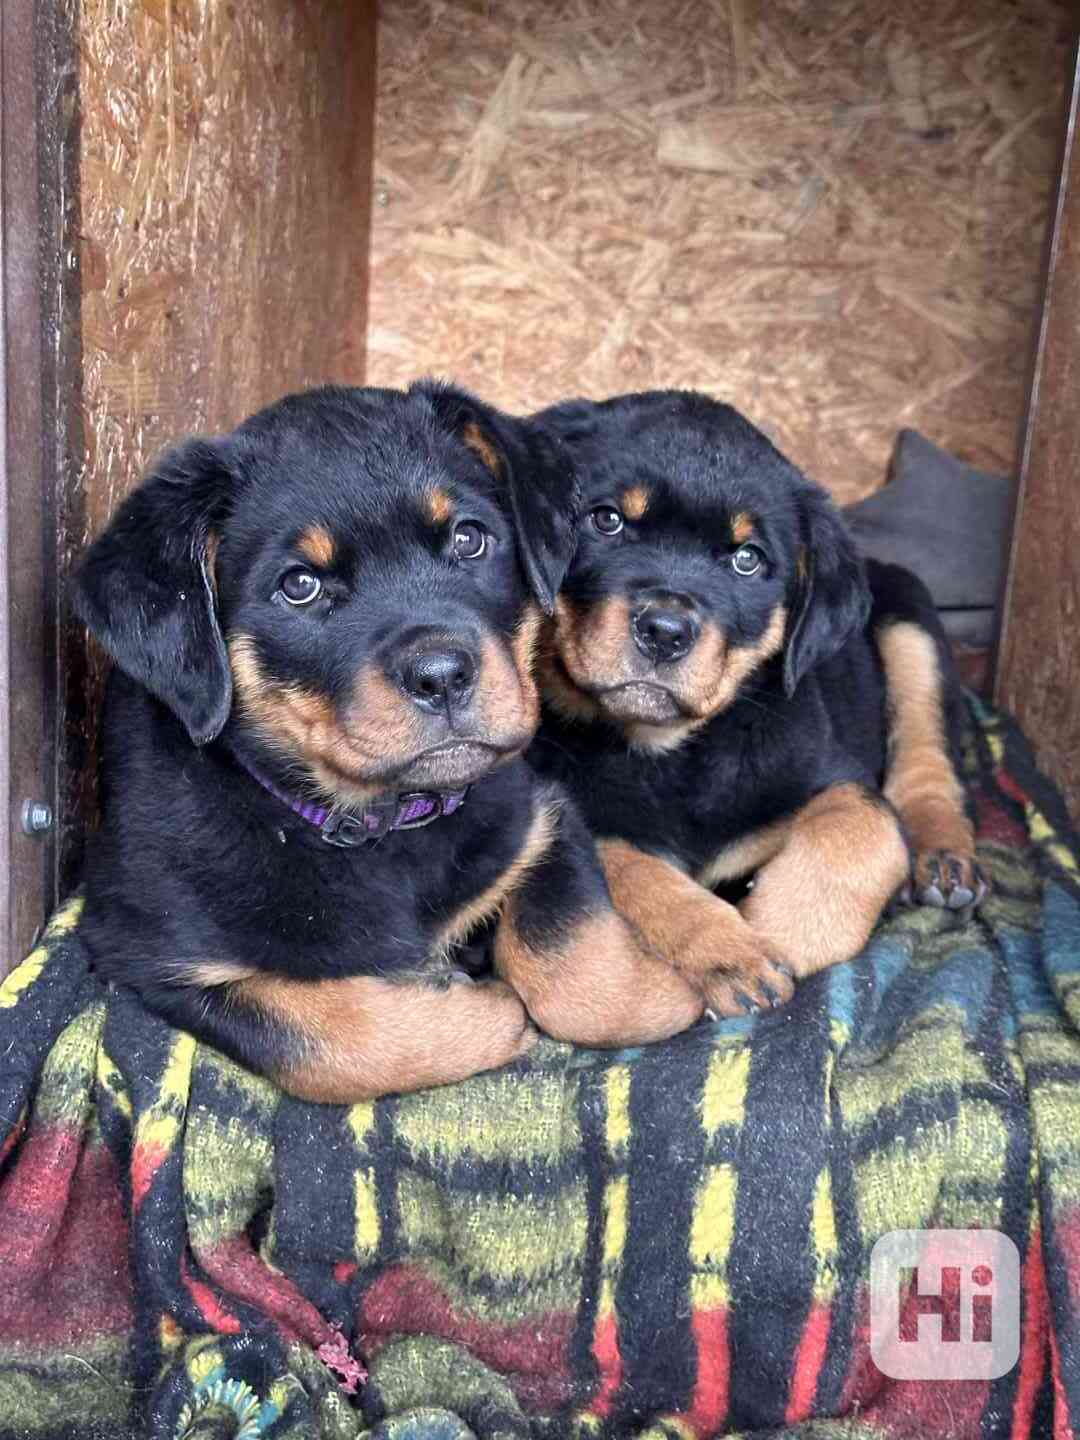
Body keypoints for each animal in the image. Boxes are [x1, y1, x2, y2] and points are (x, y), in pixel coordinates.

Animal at [76, 383, 702, 1100]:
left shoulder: (539, 817)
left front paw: (665, 995)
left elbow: (576, 960)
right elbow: (329, 1040)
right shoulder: (148, 950)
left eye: (468, 538)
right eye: (299, 585)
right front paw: (478, 1008)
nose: (442, 675)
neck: (381, 825)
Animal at [529, 388, 984, 1019]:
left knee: (926, 757)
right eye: (607, 520)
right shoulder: (559, 806)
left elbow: (865, 825)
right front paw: (732, 953)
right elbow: (631, 865)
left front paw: (779, 934)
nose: (665, 631)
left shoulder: (830, 768)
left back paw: (942, 851)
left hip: (909, 619)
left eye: (747, 560)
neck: (668, 752)